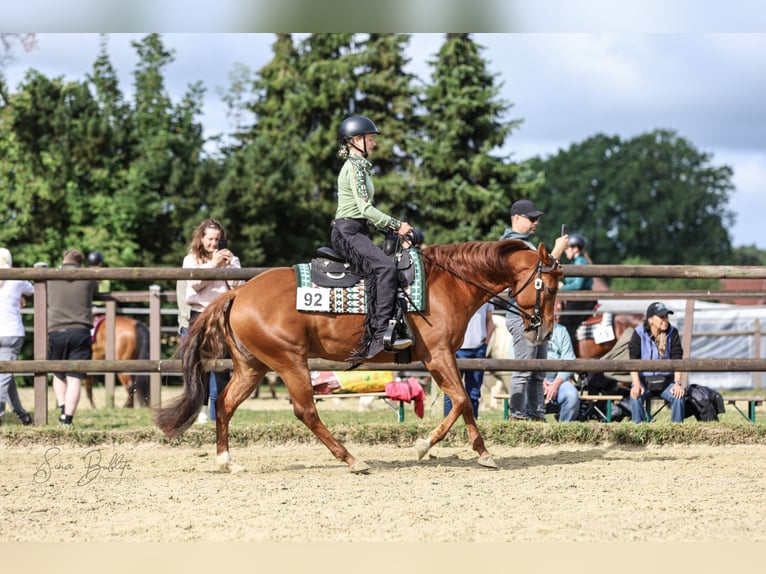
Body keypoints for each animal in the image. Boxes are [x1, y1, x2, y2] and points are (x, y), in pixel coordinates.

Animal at [155, 240, 562, 473]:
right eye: (548, 286)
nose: (543, 330)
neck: (446, 283)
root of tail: (237, 293)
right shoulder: (438, 356)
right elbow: (462, 399)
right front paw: (425, 446)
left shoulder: (444, 358)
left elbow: (463, 402)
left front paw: (481, 452)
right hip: (290, 362)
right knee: (306, 411)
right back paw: (352, 460)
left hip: (252, 367)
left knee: (224, 404)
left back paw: (227, 461)